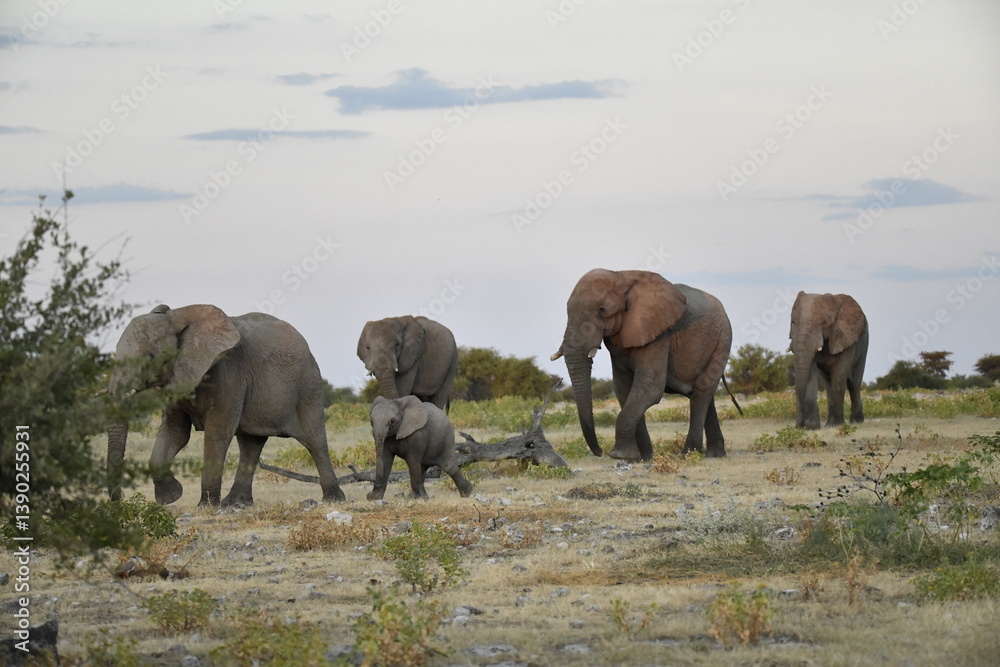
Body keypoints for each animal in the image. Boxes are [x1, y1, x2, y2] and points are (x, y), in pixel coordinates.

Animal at [107, 304, 346, 506]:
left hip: (308, 385)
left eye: (150, 358)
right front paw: (172, 498)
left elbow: (218, 432)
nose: (119, 502)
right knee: (251, 444)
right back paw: (236, 503)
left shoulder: (228, 375)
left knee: (314, 441)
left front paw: (205, 506)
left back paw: (334, 499)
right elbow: (175, 432)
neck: (177, 315)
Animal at [551, 269, 736, 461]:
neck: (620, 276)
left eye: (602, 311)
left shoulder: (658, 333)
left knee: (702, 391)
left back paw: (688, 454)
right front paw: (643, 457)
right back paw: (715, 454)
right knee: (702, 394)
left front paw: (620, 456)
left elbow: (649, 387)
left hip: (723, 339)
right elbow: (624, 390)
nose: (600, 452)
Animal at [789, 292, 868, 430]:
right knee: (827, 383)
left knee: (854, 383)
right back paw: (829, 424)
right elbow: (811, 373)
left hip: (864, 345)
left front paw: (837, 424)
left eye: (825, 323)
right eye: (793, 322)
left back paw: (856, 421)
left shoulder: (846, 336)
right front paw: (812, 426)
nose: (799, 425)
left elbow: (839, 377)